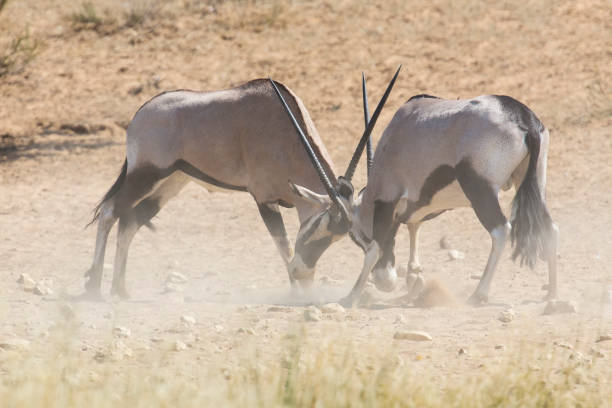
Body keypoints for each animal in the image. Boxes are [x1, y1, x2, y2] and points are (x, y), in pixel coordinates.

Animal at [83, 71, 400, 298]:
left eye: (335, 238)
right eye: (314, 230)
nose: (301, 272)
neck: (285, 133)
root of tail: (142, 112)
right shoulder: (263, 199)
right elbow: (283, 244)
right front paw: (296, 292)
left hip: (169, 183)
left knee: (130, 221)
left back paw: (120, 289)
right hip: (146, 174)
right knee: (111, 211)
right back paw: (95, 287)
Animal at [280, 83, 560, 306]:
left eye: (353, 235)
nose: (295, 270)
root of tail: (523, 118)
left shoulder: (388, 197)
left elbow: (375, 248)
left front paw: (351, 297)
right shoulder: (411, 203)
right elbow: (413, 225)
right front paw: (413, 280)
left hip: (481, 189)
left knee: (501, 230)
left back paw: (479, 294)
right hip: (536, 182)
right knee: (550, 228)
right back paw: (552, 295)